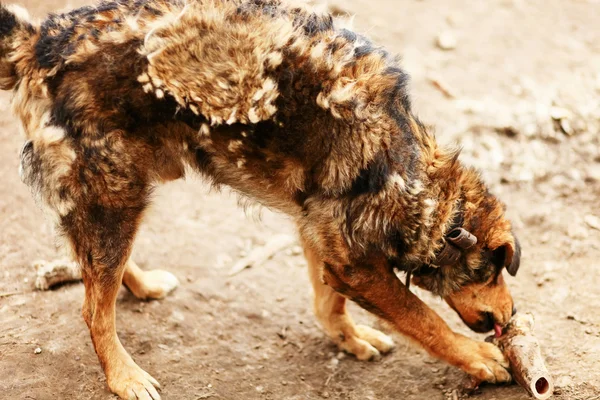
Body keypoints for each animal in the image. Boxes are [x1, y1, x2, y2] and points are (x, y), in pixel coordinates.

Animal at [1, 1, 520, 398]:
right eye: (492, 271)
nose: (511, 317)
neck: (414, 174)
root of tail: (39, 38)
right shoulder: (359, 267)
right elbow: (425, 318)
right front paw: (477, 357)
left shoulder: (322, 240)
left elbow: (328, 304)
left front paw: (349, 338)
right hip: (115, 195)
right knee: (93, 309)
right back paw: (125, 377)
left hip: (117, 196)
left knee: (93, 269)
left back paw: (144, 285)